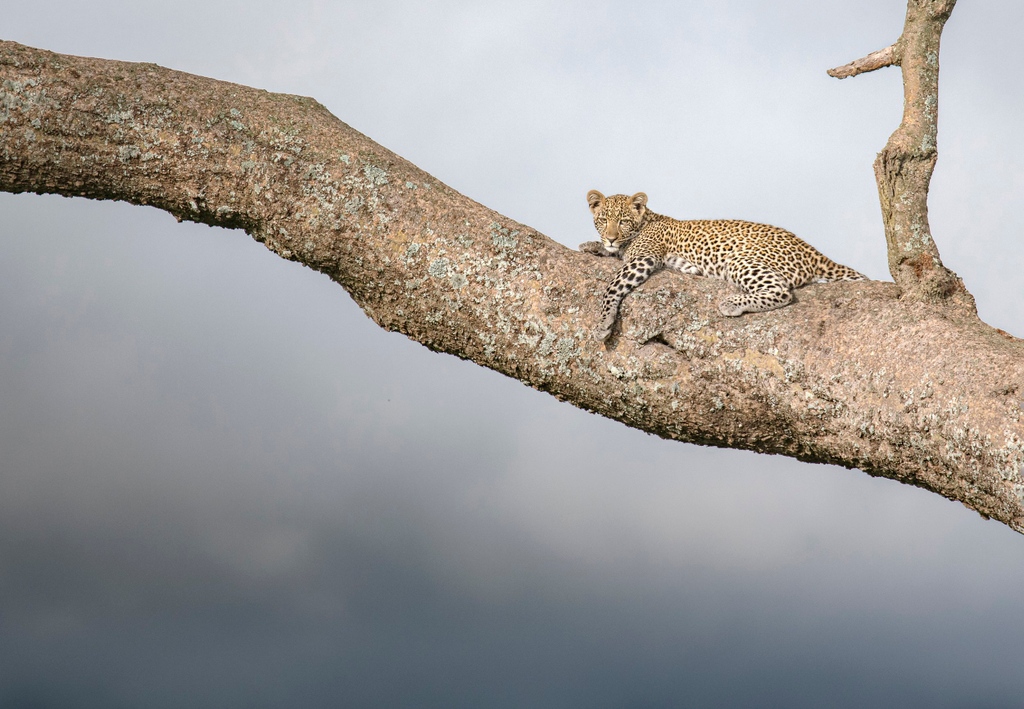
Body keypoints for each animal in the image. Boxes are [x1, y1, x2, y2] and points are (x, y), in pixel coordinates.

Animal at [580, 190, 867, 342]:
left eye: (623, 221)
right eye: (603, 220)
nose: (611, 237)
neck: (645, 221)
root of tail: (814, 251)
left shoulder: (643, 258)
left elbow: (612, 286)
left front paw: (603, 322)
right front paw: (593, 245)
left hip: (741, 261)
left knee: (782, 292)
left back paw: (732, 303)